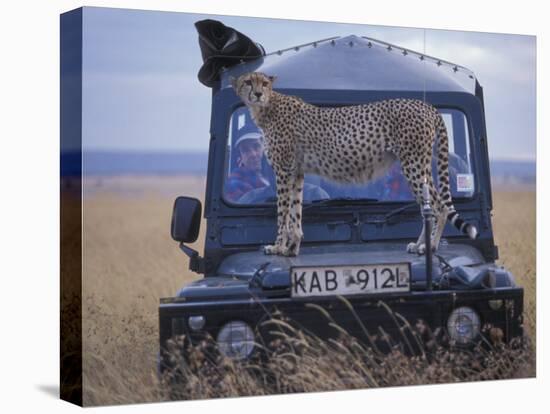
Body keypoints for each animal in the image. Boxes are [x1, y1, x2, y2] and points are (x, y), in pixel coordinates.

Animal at [231, 73, 480, 258]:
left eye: (264, 83)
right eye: (248, 82)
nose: (258, 94)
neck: (267, 107)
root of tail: (425, 105)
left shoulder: (283, 171)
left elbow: (282, 213)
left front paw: (277, 247)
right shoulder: (297, 172)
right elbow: (295, 212)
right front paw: (291, 248)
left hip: (413, 165)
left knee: (439, 207)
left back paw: (430, 246)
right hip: (420, 165)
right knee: (429, 206)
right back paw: (420, 244)